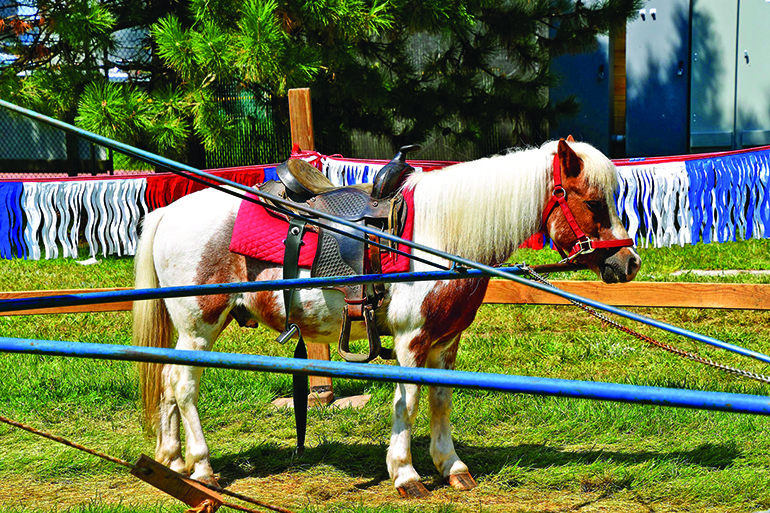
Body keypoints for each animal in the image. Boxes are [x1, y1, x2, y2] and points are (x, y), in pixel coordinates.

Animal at [135, 139, 640, 496]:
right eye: (593, 202)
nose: (629, 263)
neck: (437, 239)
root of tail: (167, 213)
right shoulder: (410, 341)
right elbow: (409, 402)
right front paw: (406, 474)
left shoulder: (445, 341)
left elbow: (441, 400)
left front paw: (452, 467)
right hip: (199, 325)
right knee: (184, 386)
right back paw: (202, 468)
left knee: (166, 382)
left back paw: (172, 460)